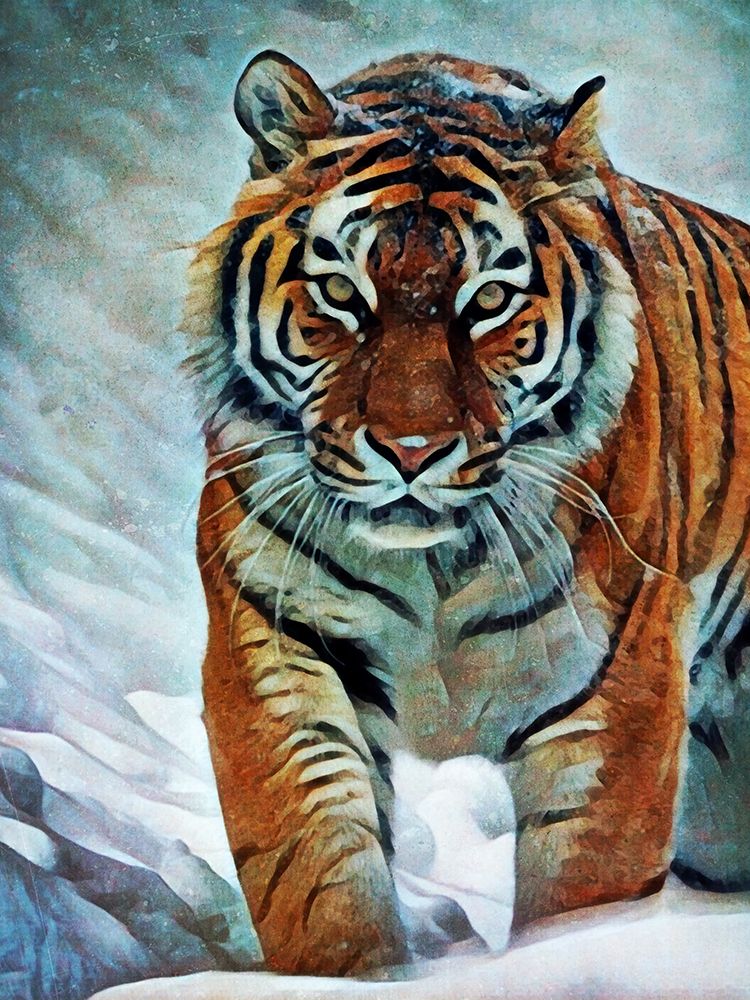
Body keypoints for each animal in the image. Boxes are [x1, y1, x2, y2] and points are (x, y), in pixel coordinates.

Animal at [185, 49, 750, 976]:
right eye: (340, 291)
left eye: (487, 301)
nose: (411, 450)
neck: (432, 567)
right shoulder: (274, 647)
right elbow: (318, 879)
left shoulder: (615, 693)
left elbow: (585, 900)